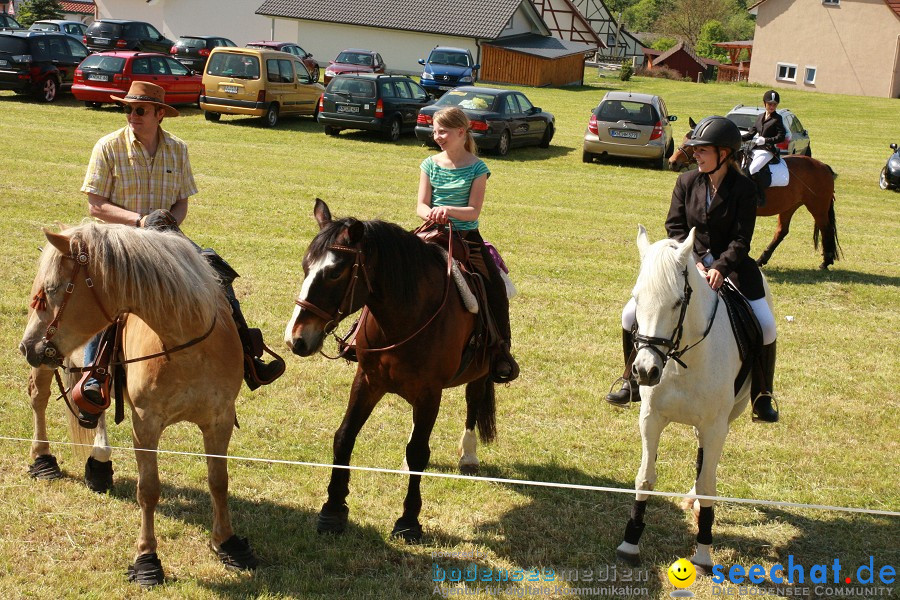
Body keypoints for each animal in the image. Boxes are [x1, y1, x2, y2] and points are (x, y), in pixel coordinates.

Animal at [19, 224, 258, 584]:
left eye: (51, 290)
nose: (27, 346)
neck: (186, 345)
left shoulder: (221, 419)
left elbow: (219, 481)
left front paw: (227, 543)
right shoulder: (145, 423)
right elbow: (148, 489)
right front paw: (147, 561)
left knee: (96, 408)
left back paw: (99, 464)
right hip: (46, 365)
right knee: (40, 399)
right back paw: (43, 460)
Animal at [284, 199, 500, 540]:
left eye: (334, 272)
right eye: (306, 266)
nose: (296, 339)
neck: (407, 315)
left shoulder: (430, 393)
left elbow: (419, 452)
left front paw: (409, 521)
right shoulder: (368, 381)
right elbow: (344, 437)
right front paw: (332, 510)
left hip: (479, 373)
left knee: (473, 402)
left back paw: (468, 455)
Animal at [620, 227, 772, 576]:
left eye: (678, 302)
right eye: (637, 297)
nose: (644, 371)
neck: (680, 359)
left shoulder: (716, 425)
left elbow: (707, 486)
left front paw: (703, 554)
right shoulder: (650, 418)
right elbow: (645, 477)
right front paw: (630, 543)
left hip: (730, 414)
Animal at [668, 124, 844, 270]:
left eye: (694, 145)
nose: (672, 162)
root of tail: (823, 167)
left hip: (817, 206)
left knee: (826, 228)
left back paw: (826, 262)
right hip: (789, 206)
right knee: (782, 231)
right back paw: (762, 260)